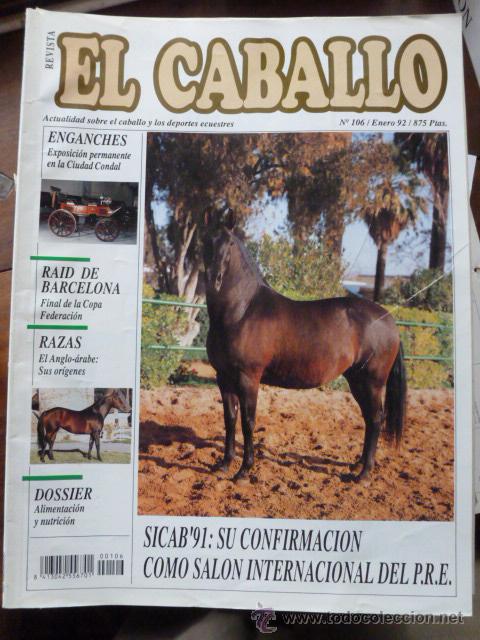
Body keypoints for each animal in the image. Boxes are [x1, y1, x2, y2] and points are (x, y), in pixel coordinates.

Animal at [203, 212, 406, 483]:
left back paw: (364, 474)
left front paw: (244, 470)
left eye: (231, 243)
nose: (213, 280)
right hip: (357, 380)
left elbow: (248, 422)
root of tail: (389, 319)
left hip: (372, 382)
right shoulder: (223, 378)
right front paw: (225, 464)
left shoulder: (248, 379)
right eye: (206, 240)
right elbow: (230, 419)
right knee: (368, 418)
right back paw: (358, 464)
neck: (241, 311)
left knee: (375, 418)